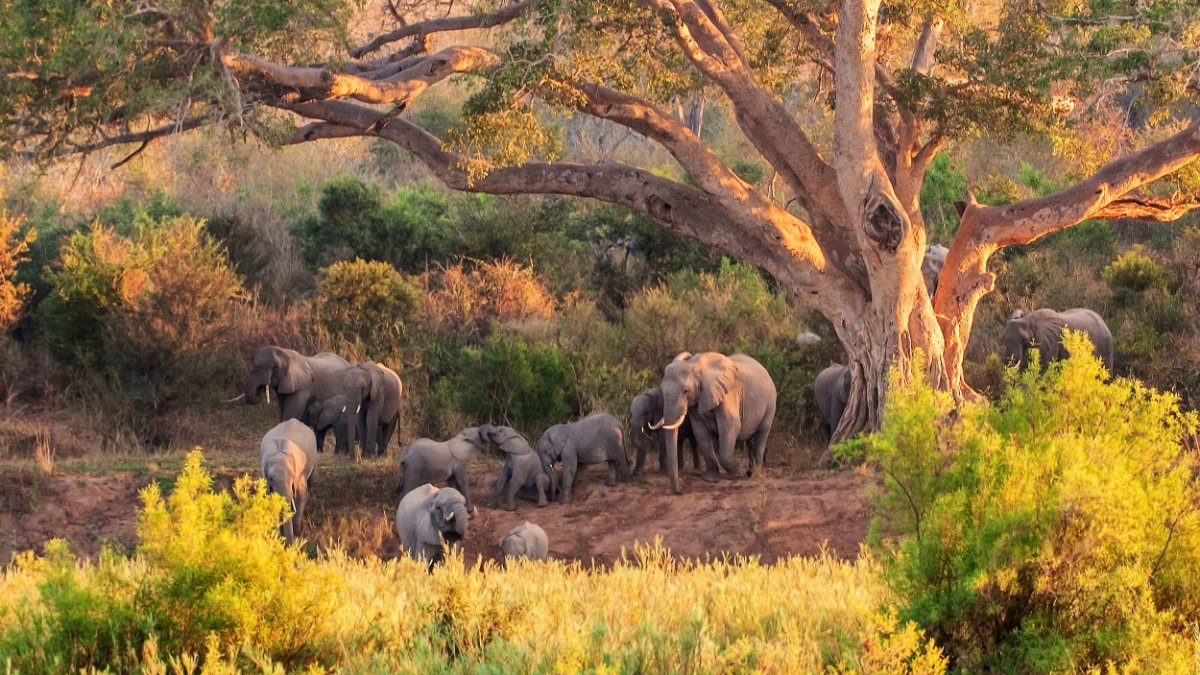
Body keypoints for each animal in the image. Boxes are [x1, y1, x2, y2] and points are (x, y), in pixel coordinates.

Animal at [655, 351, 777, 493]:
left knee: (761, 435)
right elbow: (700, 432)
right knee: (750, 440)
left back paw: (756, 474)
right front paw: (710, 479)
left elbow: (730, 426)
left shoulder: (728, 394)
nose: (680, 491)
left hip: (770, 404)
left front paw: (736, 472)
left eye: (686, 391)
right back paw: (749, 472)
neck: (695, 365)